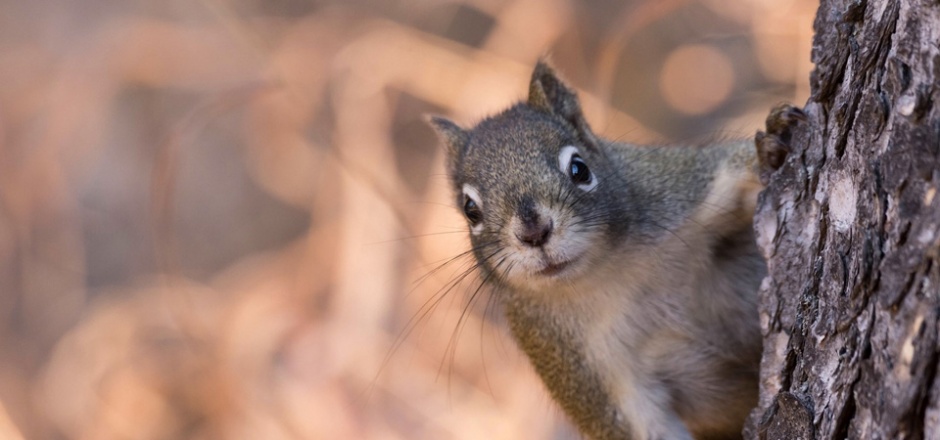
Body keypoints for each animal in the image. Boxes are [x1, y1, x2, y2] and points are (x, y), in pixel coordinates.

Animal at [430, 59, 804, 440]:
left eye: (579, 169)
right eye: (470, 210)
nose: (534, 232)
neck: (612, 273)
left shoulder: (679, 189)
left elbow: (734, 173)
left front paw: (768, 148)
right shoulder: (582, 370)